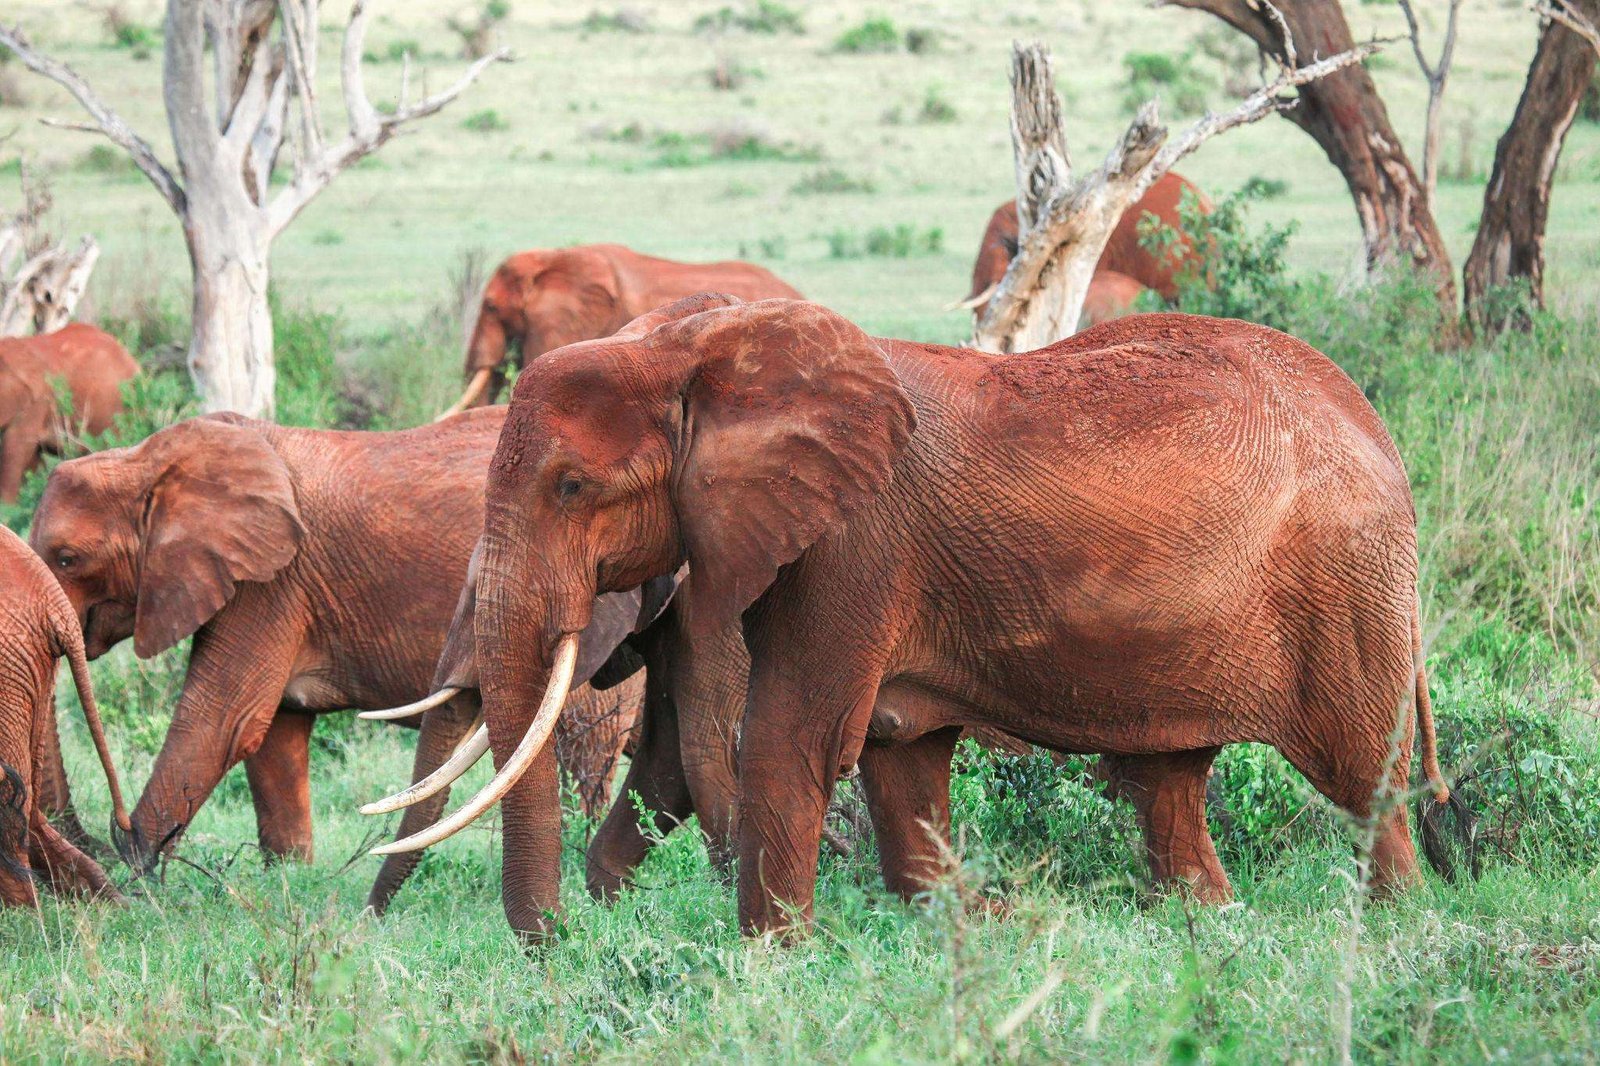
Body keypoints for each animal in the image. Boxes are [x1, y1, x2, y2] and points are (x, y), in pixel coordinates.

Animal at [374, 292, 1452, 941]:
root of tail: (1374, 423)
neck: (701, 348)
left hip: (1347, 583)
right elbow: (896, 757)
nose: (555, 945)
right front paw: (960, 926)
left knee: (1364, 779)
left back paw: (1399, 929)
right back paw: (1207, 928)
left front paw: (768, 962)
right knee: (1166, 784)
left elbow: (790, 742)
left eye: (570, 487)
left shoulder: (853, 543)